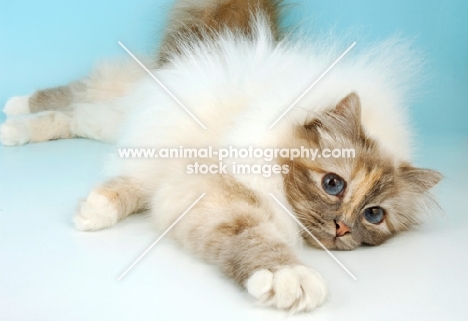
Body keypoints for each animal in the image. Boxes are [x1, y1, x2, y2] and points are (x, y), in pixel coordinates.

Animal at [0, 0, 440, 312]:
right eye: (333, 184)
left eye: (374, 215)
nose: (342, 228)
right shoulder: (220, 190)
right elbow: (257, 238)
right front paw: (291, 277)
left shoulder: (187, 190)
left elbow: (136, 190)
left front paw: (94, 209)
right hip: (119, 106)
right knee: (64, 99)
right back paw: (14, 113)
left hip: (112, 122)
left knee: (70, 118)